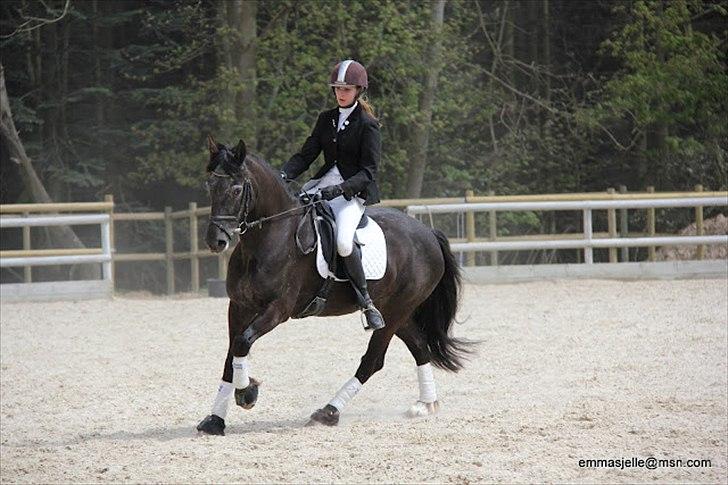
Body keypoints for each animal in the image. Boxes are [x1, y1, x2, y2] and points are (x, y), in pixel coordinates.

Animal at [196, 136, 474, 434]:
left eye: (237, 189)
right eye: (209, 185)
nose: (216, 241)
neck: (269, 239)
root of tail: (428, 233)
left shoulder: (278, 309)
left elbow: (243, 342)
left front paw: (247, 393)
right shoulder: (239, 307)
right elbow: (231, 354)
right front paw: (215, 419)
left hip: (397, 310)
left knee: (373, 361)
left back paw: (328, 411)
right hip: (395, 312)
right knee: (420, 346)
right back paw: (425, 404)